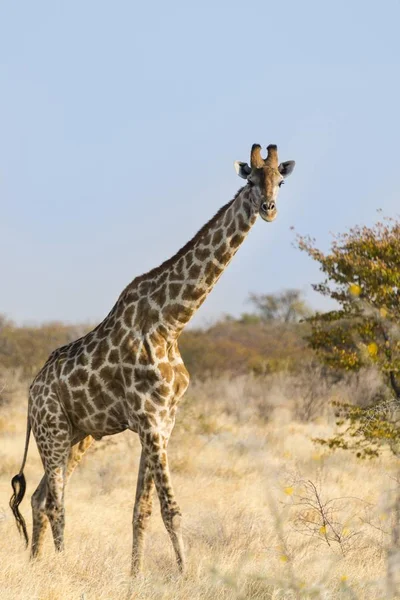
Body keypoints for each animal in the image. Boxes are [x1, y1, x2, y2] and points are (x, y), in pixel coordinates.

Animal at [10, 143, 296, 576]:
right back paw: (60, 565)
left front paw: (135, 576)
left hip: (79, 435)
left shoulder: (165, 420)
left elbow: (141, 510)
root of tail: (31, 391)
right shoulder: (149, 419)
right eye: (250, 180)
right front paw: (186, 577)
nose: (269, 208)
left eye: (280, 180)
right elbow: (171, 510)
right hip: (52, 430)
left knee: (40, 496)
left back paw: (37, 563)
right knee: (57, 502)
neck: (171, 321)